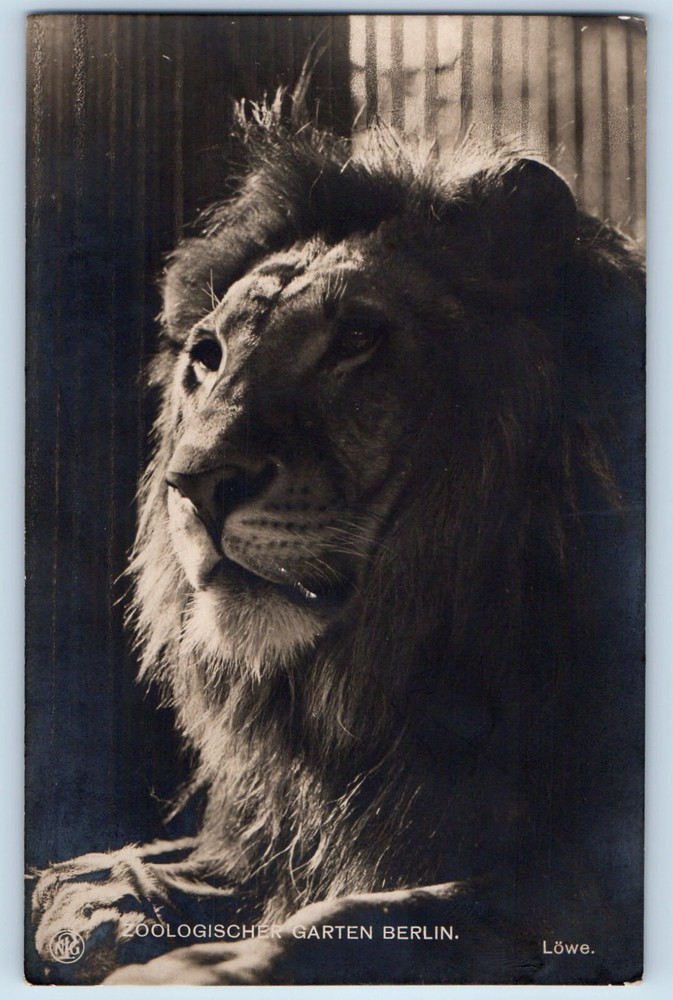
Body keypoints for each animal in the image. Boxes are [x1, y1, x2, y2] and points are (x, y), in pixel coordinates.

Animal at [30, 117, 644, 985]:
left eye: (354, 338)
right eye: (207, 356)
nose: (195, 483)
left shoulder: (578, 887)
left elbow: (372, 919)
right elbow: (97, 869)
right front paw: (104, 912)